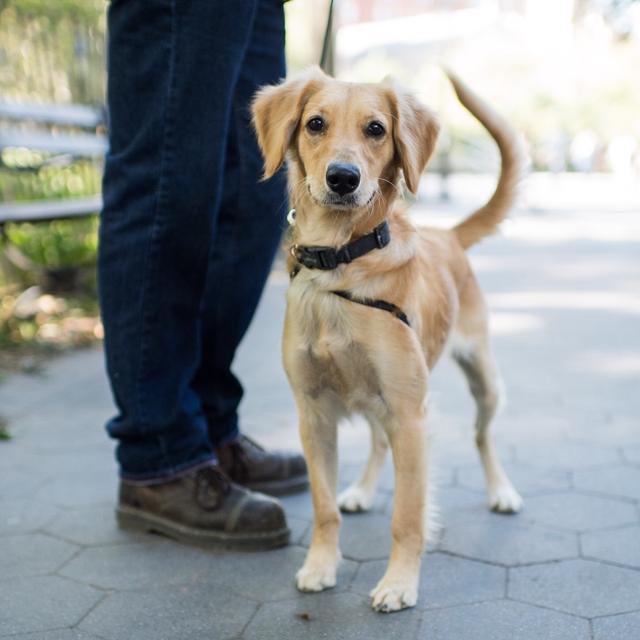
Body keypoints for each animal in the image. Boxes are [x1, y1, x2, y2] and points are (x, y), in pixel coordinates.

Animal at [250, 67, 524, 612]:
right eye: (315, 123)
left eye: (376, 129)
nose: (343, 177)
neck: (340, 262)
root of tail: (449, 236)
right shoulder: (313, 415)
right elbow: (322, 507)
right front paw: (321, 565)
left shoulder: (409, 415)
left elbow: (408, 516)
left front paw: (399, 583)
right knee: (377, 442)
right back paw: (359, 489)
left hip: (483, 380)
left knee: (483, 434)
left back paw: (501, 491)